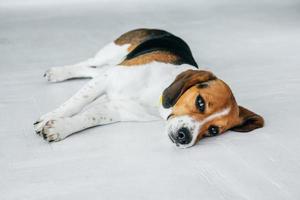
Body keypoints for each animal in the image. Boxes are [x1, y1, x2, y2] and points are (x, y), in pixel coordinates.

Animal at [32, 28, 264, 148]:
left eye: (213, 131)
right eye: (200, 102)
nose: (185, 137)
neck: (156, 96)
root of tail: (165, 30)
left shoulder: (114, 110)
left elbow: (88, 117)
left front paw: (61, 128)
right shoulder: (107, 79)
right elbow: (74, 104)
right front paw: (49, 117)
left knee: (91, 70)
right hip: (111, 54)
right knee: (88, 64)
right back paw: (57, 73)